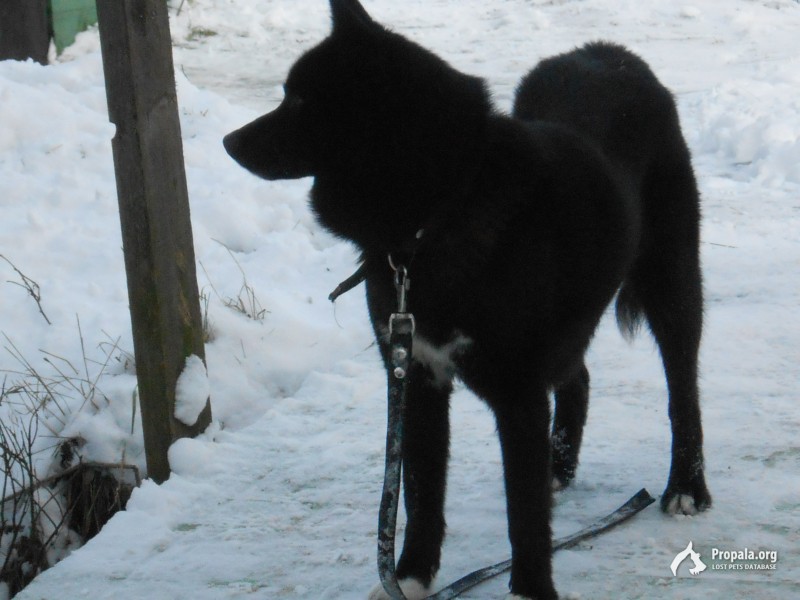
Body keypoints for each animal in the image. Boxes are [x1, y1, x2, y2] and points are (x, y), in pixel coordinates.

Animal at [222, 2, 708, 596]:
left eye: (299, 100)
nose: (228, 142)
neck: (435, 219)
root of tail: (609, 53)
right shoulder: (415, 377)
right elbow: (420, 493)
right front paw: (410, 577)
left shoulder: (517, 393)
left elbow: (523, 515)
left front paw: (529, 589)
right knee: (578, 377)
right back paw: (558, 466)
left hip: (672, 284)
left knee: (683, 391)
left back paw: (685, 486)